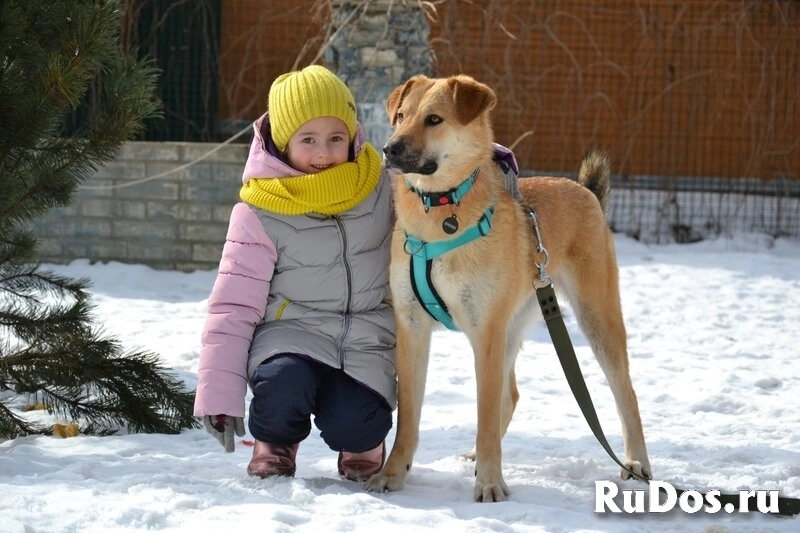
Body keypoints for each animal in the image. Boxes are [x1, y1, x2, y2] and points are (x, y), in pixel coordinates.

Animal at [366, 75, 652, 502]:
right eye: (401, 116)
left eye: (433, 119)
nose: (390, 148)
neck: (442, 211)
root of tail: (584, 190)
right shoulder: (413, 329)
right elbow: (409, 417)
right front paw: (393, 473)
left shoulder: (485, 332)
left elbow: (485, 414)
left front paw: (490, 482)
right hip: (512, 325)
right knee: (511, 393)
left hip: (594, 320)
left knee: (626, 394)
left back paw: (636, 462)